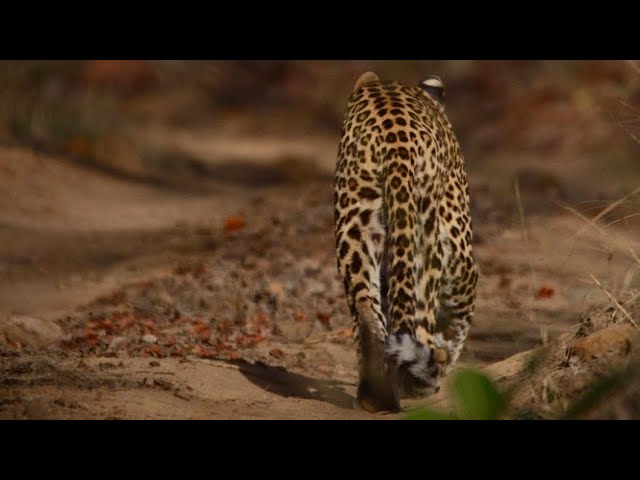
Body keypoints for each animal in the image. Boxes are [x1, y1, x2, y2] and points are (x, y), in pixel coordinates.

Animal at [332, 72, 478, 412]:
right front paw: (444, 356)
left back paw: (376, 395)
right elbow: (460, 314)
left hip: (355, 219)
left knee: (365, 305)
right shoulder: (460, 246)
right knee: (420, 311)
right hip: (428, 233)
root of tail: (393, 137)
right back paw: (418, 382)